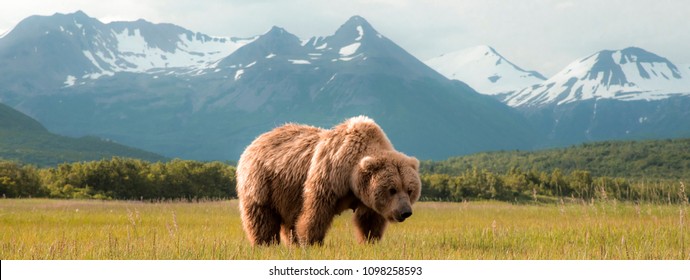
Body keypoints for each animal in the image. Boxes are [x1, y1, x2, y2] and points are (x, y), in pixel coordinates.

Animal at [235, 116, 420, 245]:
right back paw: (265, 243)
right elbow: (316, 212)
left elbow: (369, 220)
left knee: (288, 222)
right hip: (261, 183)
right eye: (392, 189)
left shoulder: (367, 197)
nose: (405, 212)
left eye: (410, 190)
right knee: (262, 218)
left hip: (286, 194)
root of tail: (254, 142)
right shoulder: (329, 175)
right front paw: (310, 241)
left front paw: (370, 241)